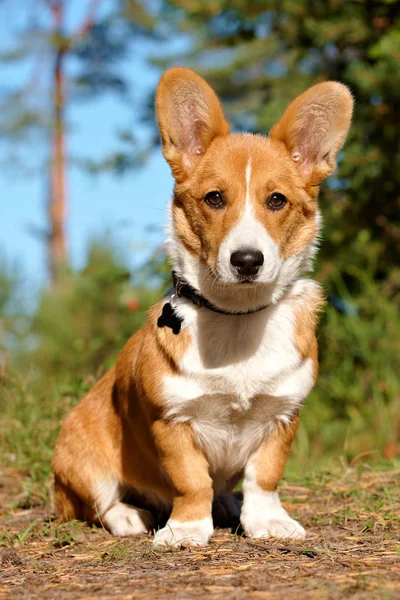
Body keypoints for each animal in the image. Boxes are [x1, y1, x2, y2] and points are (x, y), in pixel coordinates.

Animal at [52, 68, 354, 548]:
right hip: (81, 458)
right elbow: (191, 481)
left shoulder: (282, 415)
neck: (237, 318)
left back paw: (227, 505)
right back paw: (131, 516)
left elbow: (264, 478)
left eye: (276, 200)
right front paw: (186, 529)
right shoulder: (173, 421)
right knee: (100, 503)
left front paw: (267, 522)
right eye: (214, 198)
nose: (247, 260)